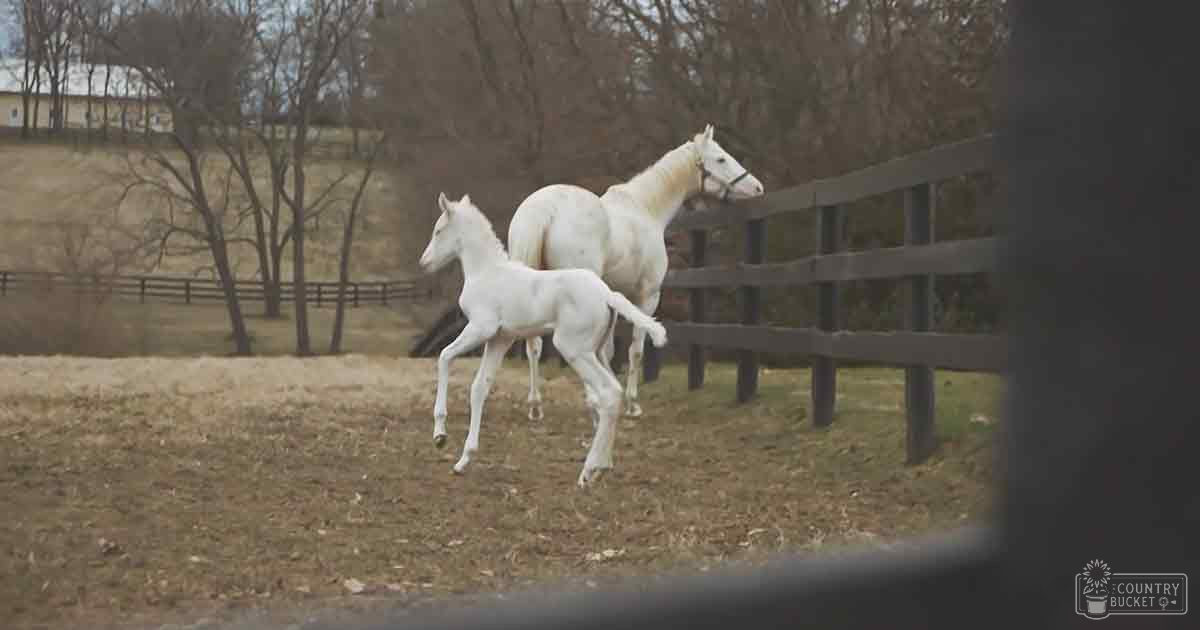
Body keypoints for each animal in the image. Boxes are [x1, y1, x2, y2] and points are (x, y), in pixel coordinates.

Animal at [418, 192, 668, 487]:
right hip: (594, 350)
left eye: (438, 231)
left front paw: (440, 435)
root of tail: (607, 293)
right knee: (613, 392)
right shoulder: (499, 340)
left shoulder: (480, 328)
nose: (424, 262)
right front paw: (464, 459)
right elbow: (479, 388)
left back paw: (588, 472)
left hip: (573, 349)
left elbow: (444, 356)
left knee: (608, 393)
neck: (487, 272)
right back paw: (603, 465)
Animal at [507, 124, 764, 421]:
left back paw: (536, 406)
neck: (645, 208)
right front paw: (632, 403)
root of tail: (543, 209)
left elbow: (607, 349)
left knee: (534, 345)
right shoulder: (646, 296)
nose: (757, 187)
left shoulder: (614, 296)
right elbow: (636, 349)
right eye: (721, 159)